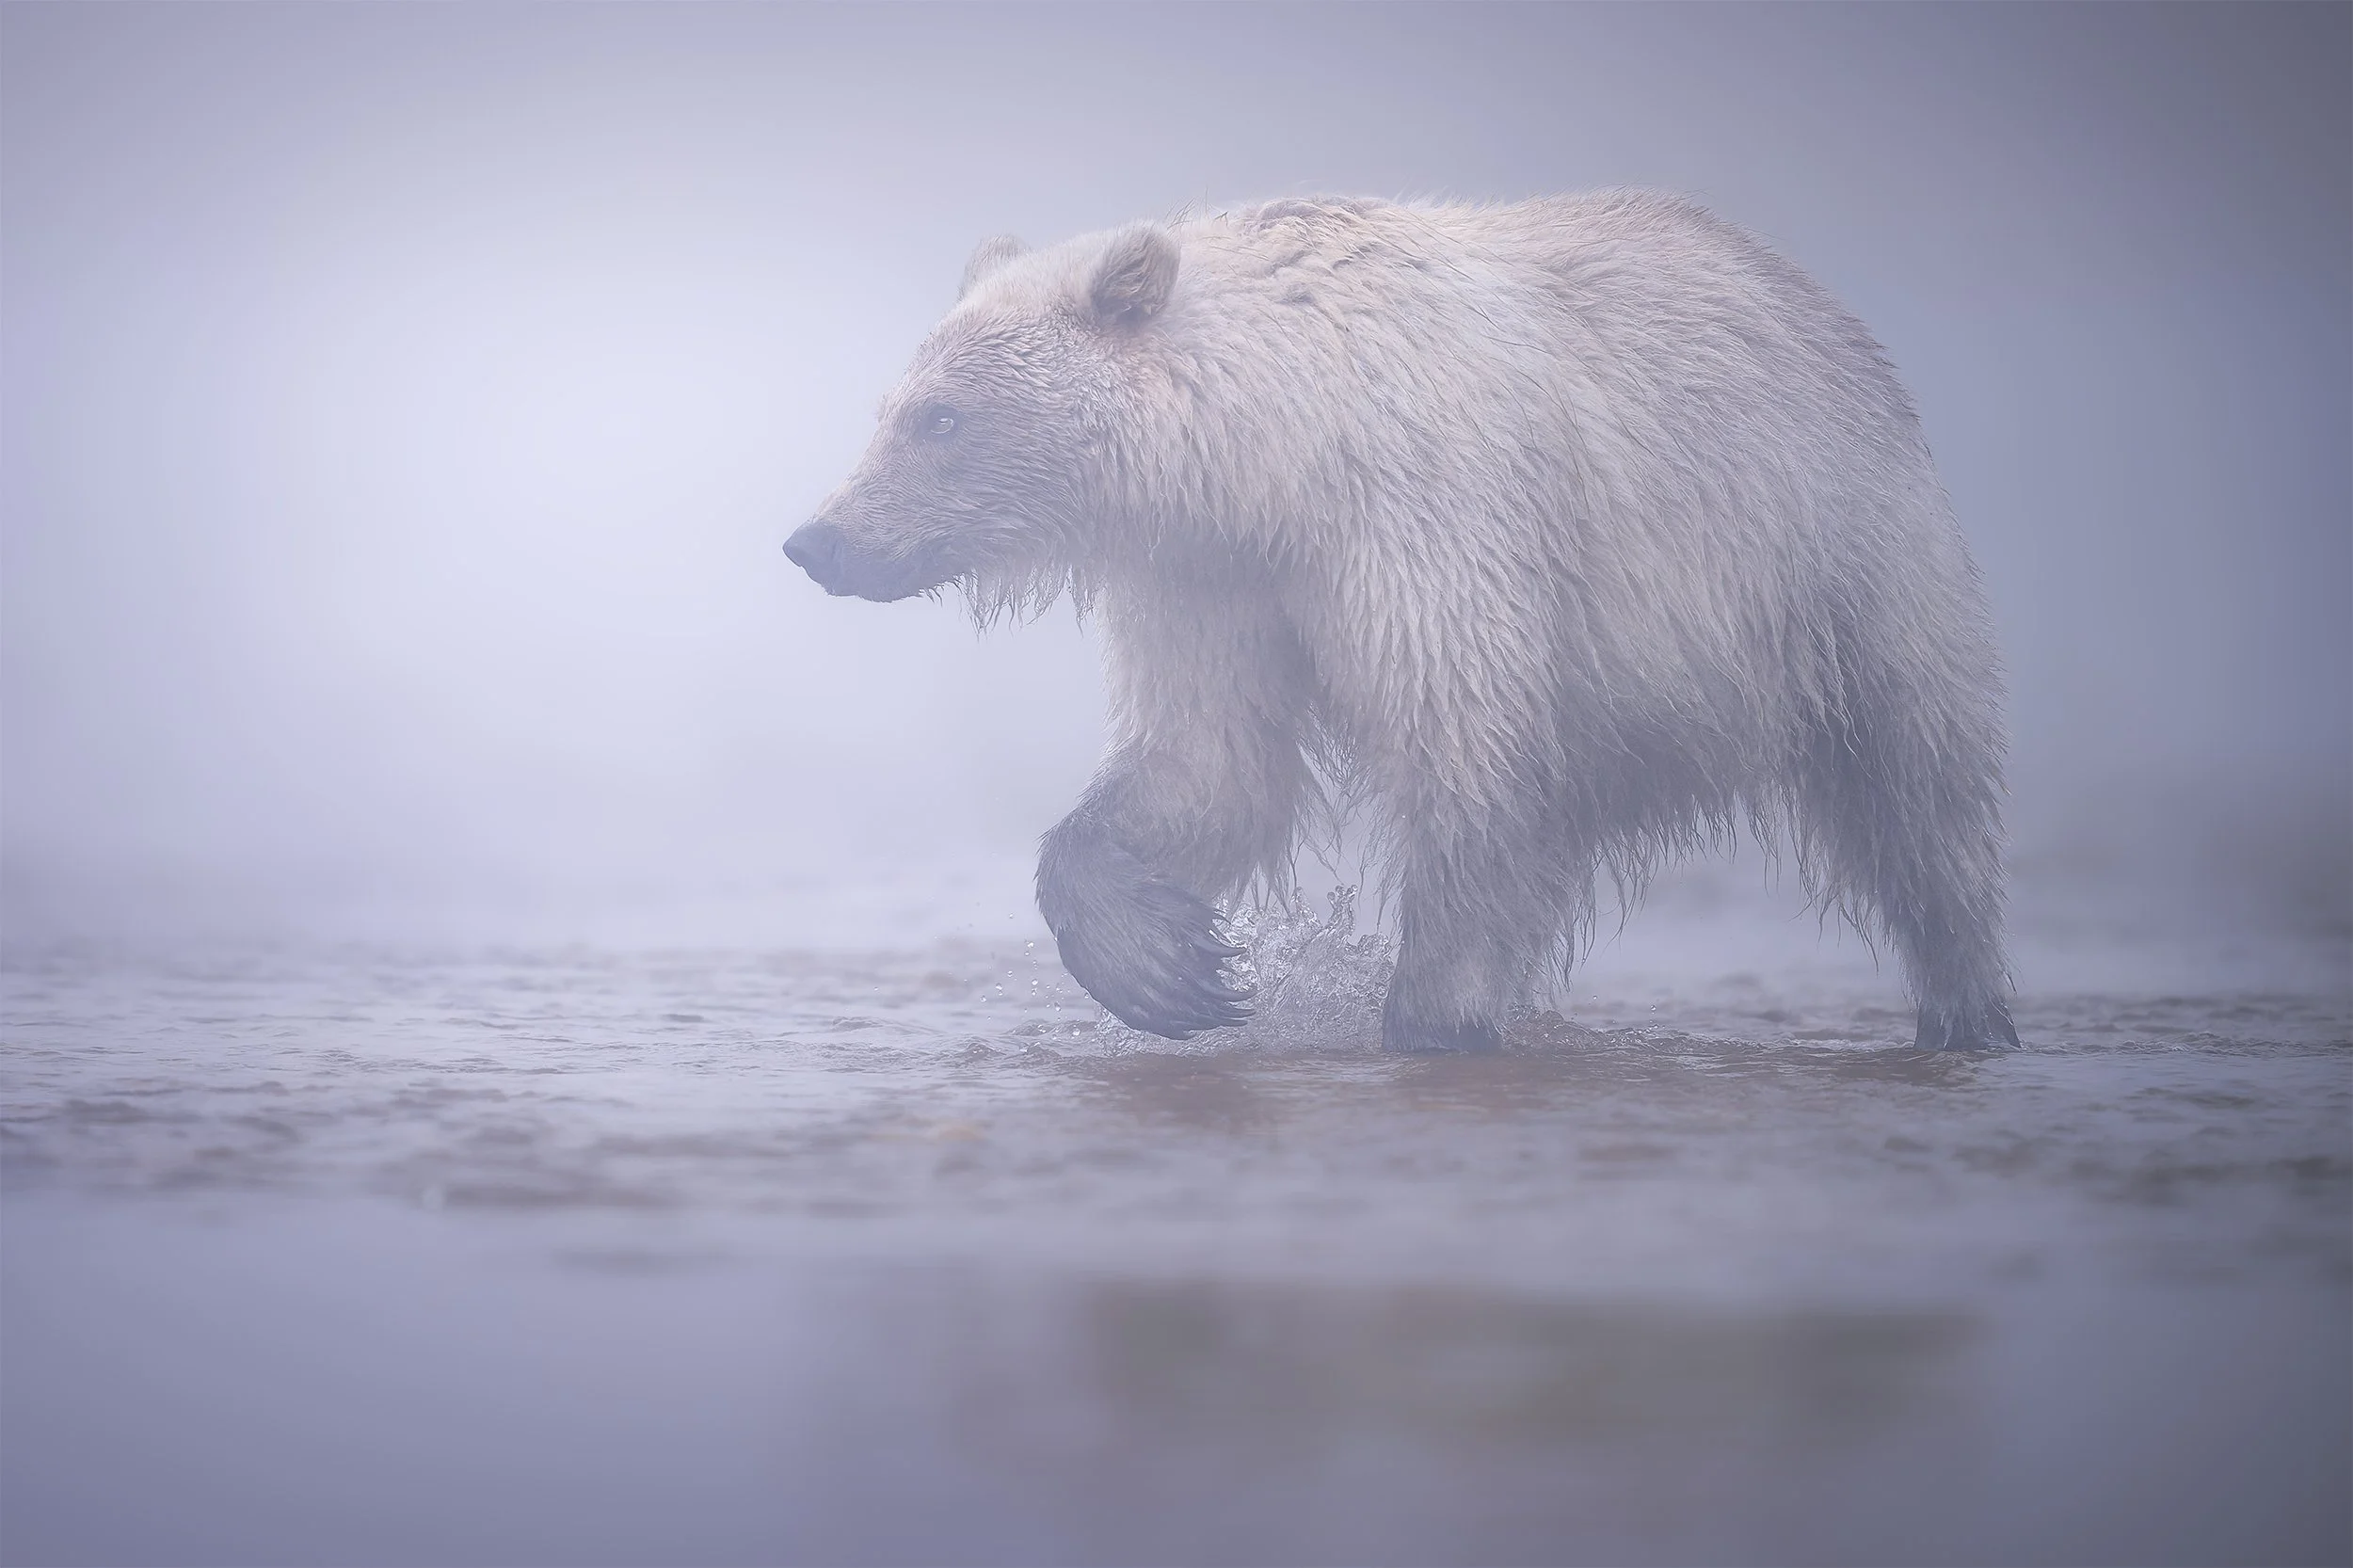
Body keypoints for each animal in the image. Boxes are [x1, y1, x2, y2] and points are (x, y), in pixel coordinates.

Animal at [786, 192, 2019, 1053]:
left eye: (940, 418)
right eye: (890, 409)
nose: (817, 540)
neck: (1275, 457)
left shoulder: (1425, 526)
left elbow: (1465, 756)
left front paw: (1427, 1012)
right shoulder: (1211, 578)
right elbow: (1205, 763)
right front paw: (1167, 966)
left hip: (1841, 567)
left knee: (1918, 797)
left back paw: (1966, 1008)